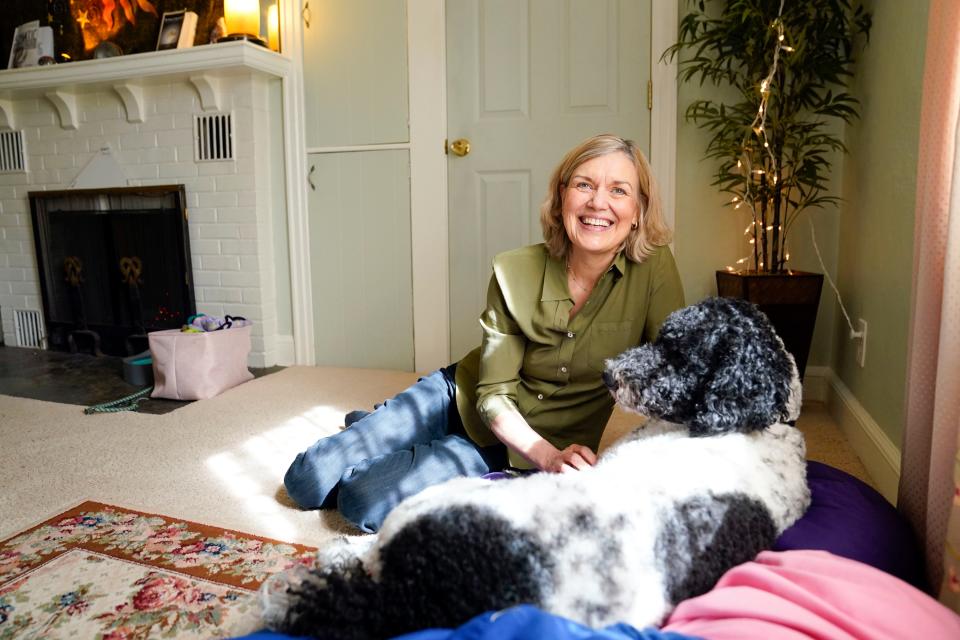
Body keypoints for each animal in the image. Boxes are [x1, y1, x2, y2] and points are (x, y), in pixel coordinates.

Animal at [262, 298, 808, 636]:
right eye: (660, 335)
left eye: (678, 353)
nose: (609, 374)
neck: (759, 419)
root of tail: (413, 587)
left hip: (437, 500)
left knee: (359, 547)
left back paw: (331, 550)